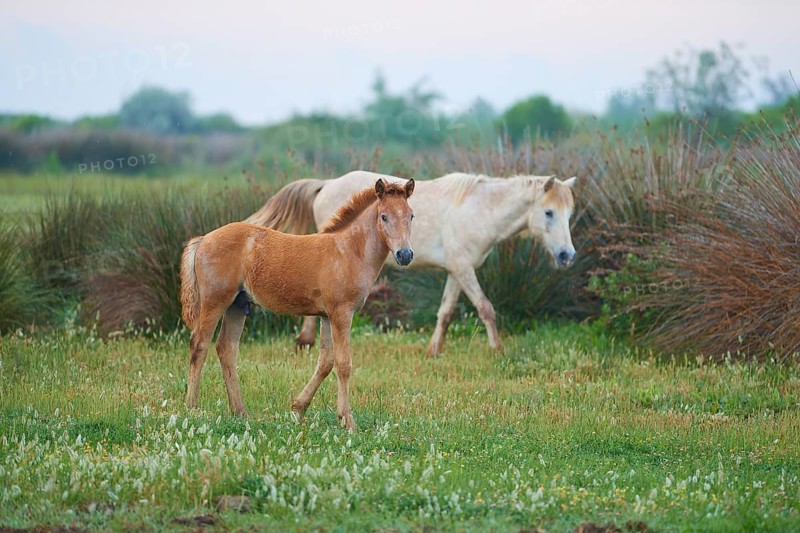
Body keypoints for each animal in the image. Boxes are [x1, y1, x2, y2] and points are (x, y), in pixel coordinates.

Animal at [181, 178, 415, 431]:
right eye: (384, 216)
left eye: (411, 215)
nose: (405, 255)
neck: (348, 252)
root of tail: (203, 240)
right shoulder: (341, 313)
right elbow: (343, 364)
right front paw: (348, 421)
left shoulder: (326, 316)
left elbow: (325, 362)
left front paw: (298, 409)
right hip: (215, 301)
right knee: (199, 344)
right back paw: (192, 409)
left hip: (237, 305)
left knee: (226, 348)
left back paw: (240, 412)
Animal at [246, 171, 577, 356]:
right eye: (548, 212)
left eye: (569, 213)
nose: (567, 256)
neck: (480, 209)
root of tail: (326, 184)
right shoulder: (465, 269)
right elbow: (486, 308)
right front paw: (498, 351)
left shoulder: (456, 271)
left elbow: (446, 311)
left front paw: (433, 351)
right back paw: (304, 341)